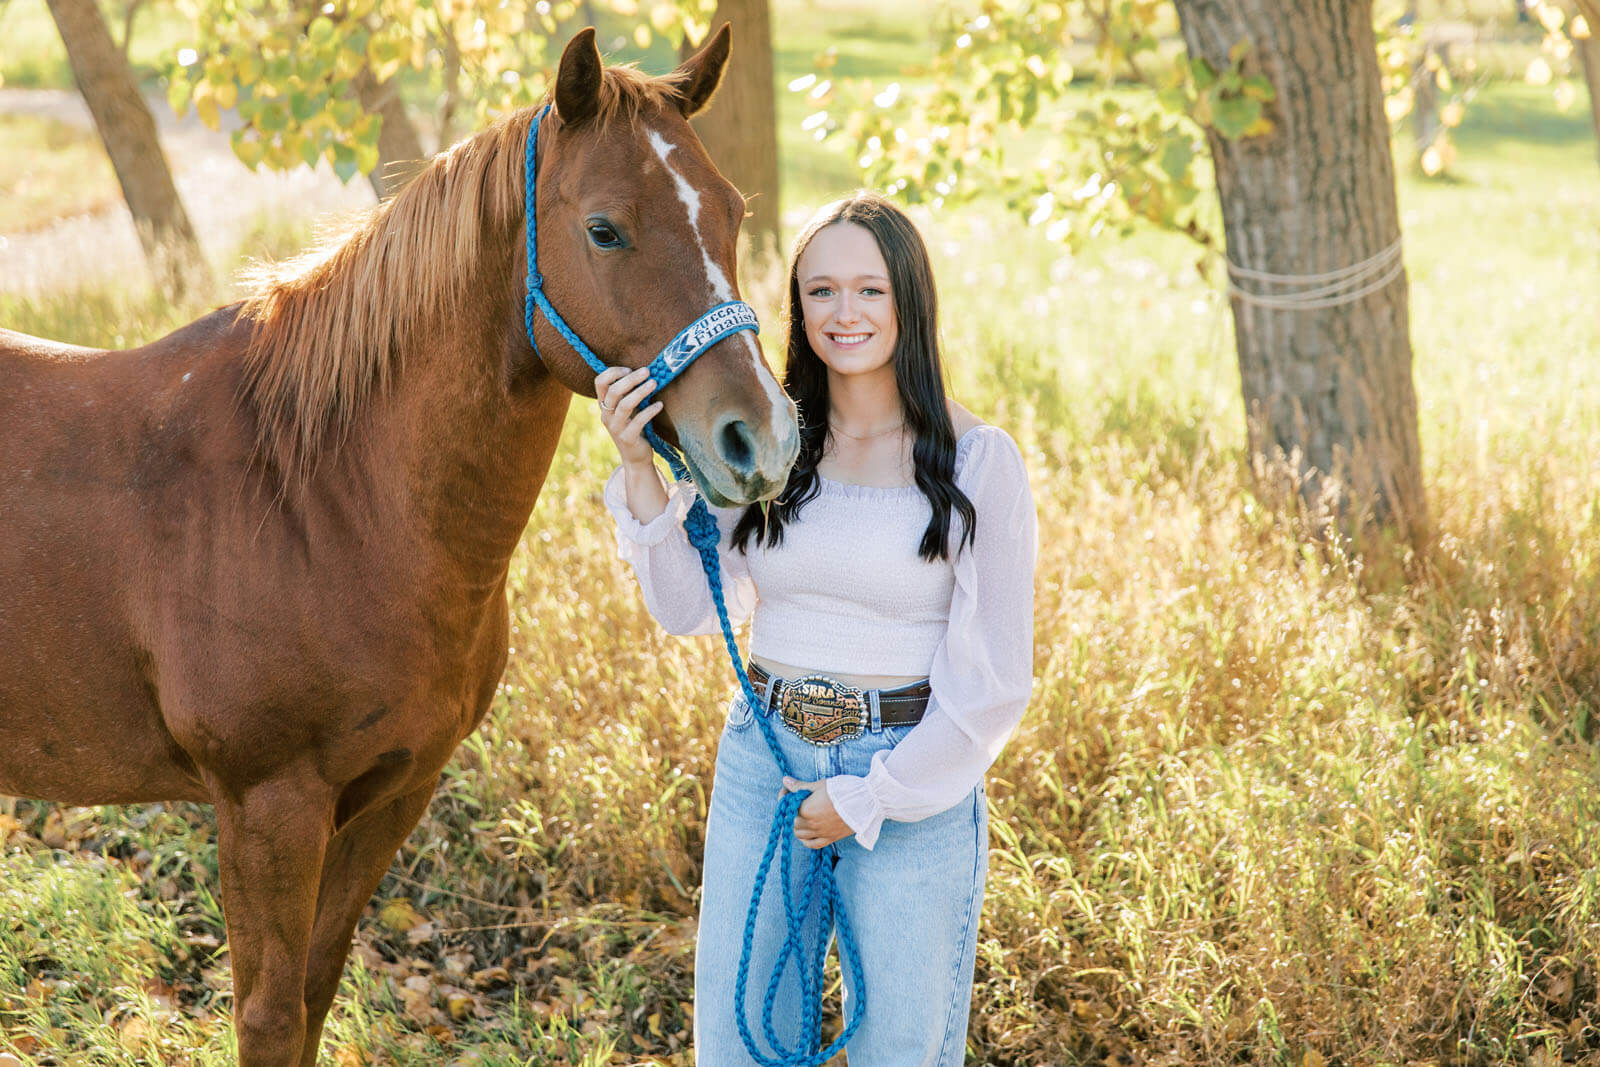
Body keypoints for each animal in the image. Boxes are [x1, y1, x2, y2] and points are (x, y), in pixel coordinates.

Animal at [0, 25, 799, 1065]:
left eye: (733, 212)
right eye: (605, 229)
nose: (762, 439)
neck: (320, 496)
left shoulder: (395, 792)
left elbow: (314, 989)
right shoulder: (267, 807)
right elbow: (268, 1014)